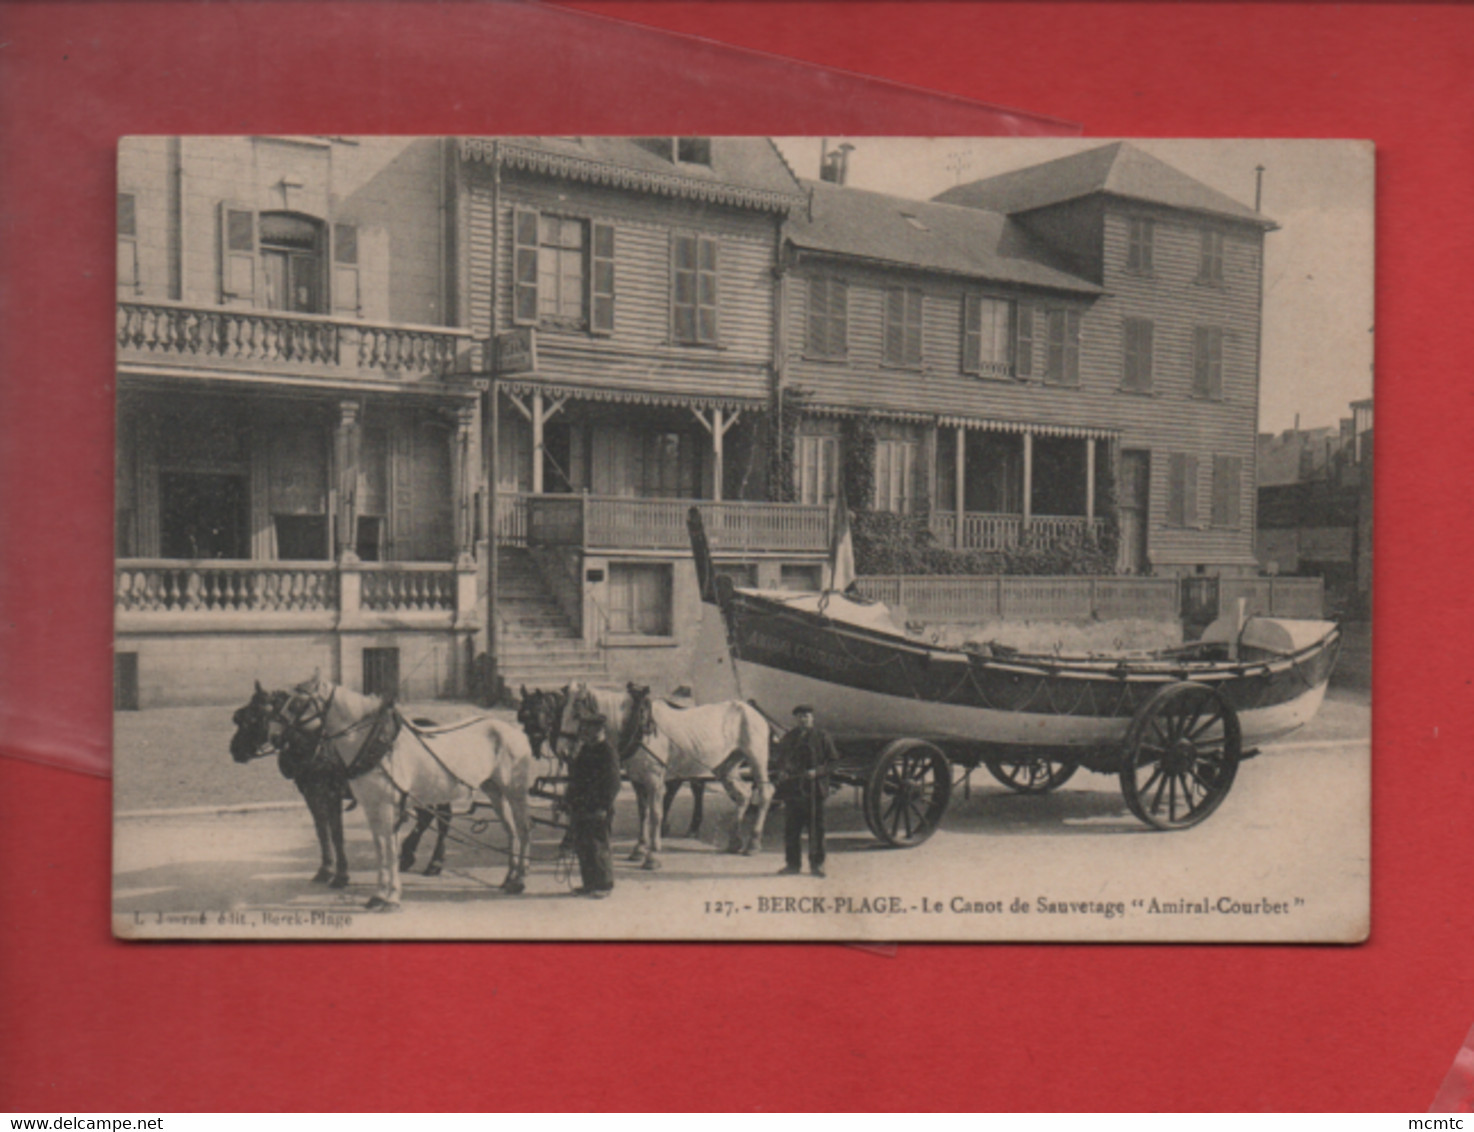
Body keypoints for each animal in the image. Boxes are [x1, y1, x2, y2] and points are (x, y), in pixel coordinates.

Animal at [259, 672, 536, 907]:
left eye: (297, 704)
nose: (273, 737)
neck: (373, 743)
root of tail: (514, 732)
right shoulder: (372, 806)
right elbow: (380, 847)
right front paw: (381, 894)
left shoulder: (386, 805)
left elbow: (388, 848)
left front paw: (390, 897)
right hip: (495, 791)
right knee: (511, 830)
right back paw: (509, 877)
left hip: (515, 792)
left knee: (523, 830)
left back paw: (520, 880)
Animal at [554, 680, 778, 866]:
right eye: (560, 712)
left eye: (576, 714)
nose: (561, 751)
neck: (637, 725)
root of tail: (751, 710)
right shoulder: (637, 780)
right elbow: (643, 814)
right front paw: (639, 849)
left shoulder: (654, 780)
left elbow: (655, 814)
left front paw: (652, 855)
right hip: (726, 766)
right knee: (744, 794)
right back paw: (735, 841)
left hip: (756, 758)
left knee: (765, 793)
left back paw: (753, 843)